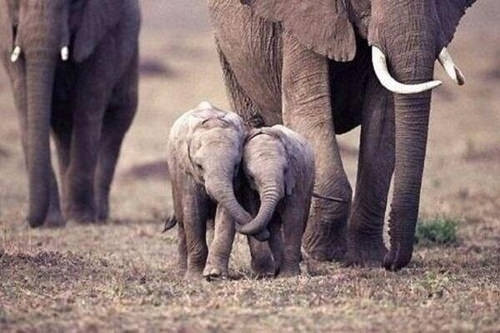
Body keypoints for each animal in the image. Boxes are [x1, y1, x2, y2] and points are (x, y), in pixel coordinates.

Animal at [0, 0, 141, 227]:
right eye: (15, 4)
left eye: (72, 4)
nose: (29, 221)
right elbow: (26, 108)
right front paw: (52, 222)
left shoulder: (100, 37)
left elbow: (87, 108)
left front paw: (80, 219)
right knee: (63, 130)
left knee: (117, 123)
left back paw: (98, 215)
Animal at [165, 102, 270, 278]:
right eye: (199, 166)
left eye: (236, 165)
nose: (266, 233)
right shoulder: (186, 171)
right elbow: (193, 212)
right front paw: (194, 278)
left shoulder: (235, 180)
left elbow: (225, 214)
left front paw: (214, 275)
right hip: (174, 174)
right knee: (181, 220)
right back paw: (181, 273)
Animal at [204, 125, 314, 278]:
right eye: (251, 177)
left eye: (285, 170)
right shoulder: (249, 189)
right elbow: (257, 212)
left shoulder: (296, 177)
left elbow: (293, 217)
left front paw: (288, 275)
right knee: (273, 224)